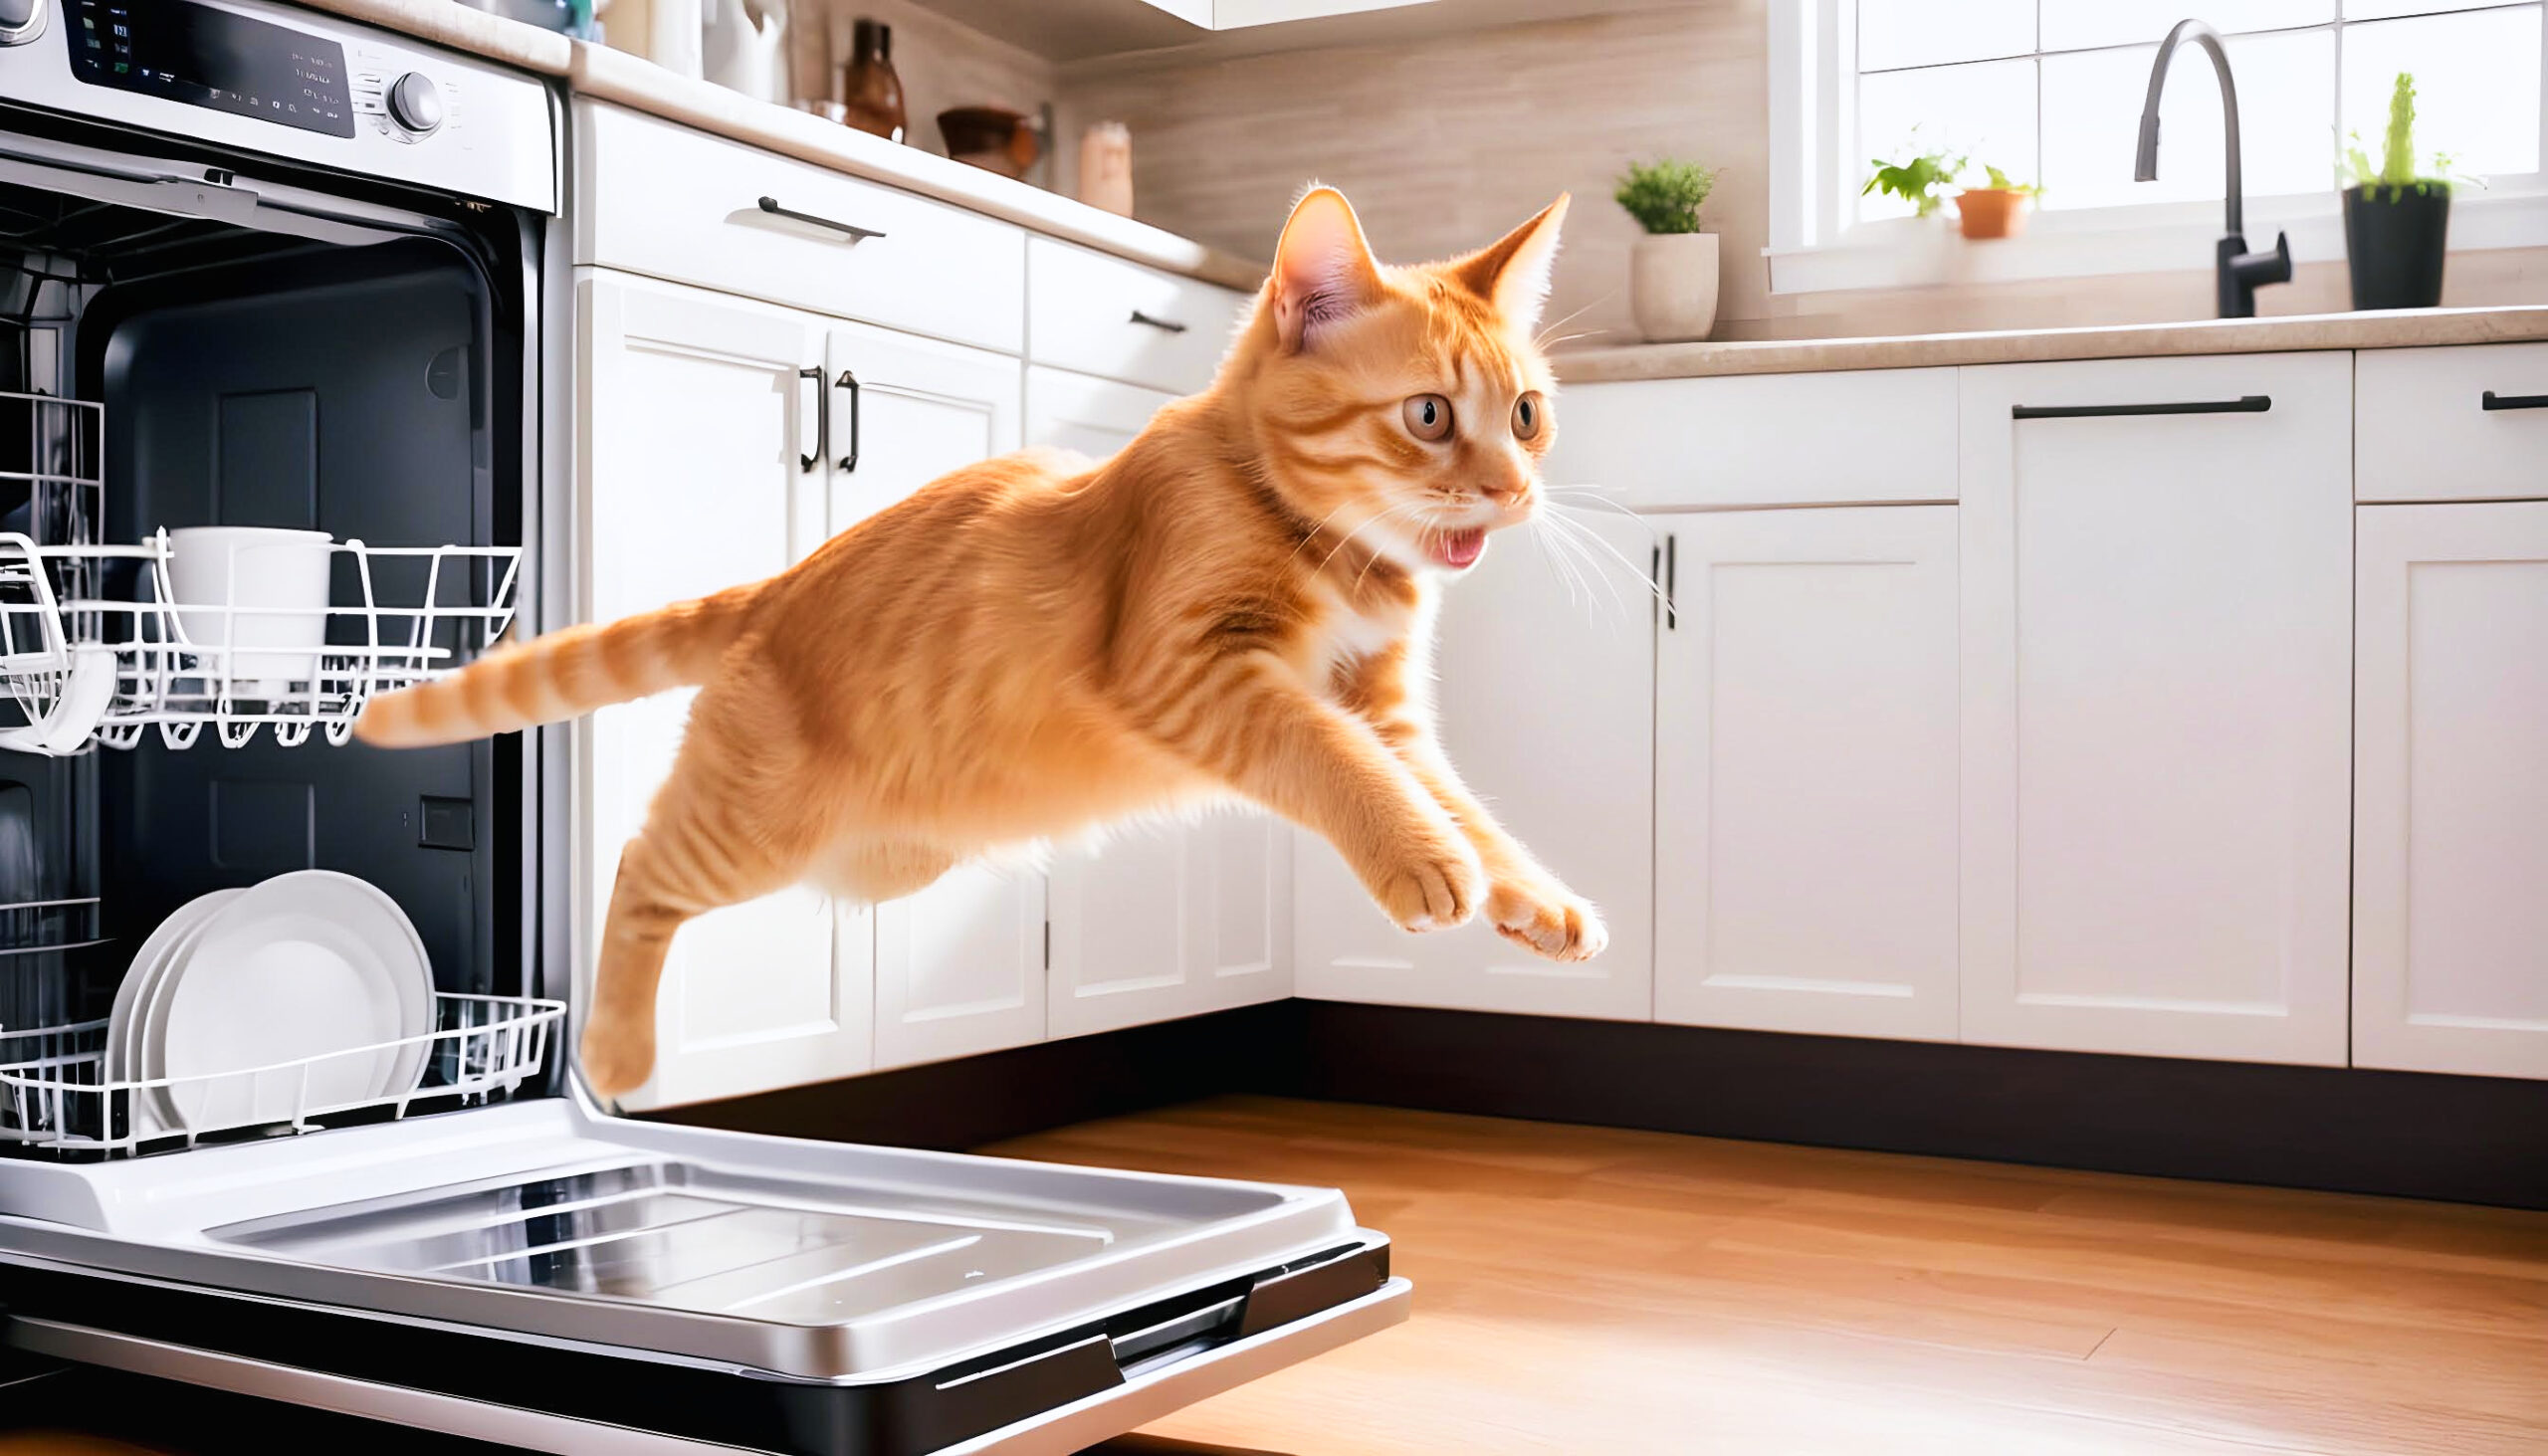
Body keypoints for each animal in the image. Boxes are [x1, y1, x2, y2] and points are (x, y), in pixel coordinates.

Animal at [351, 184, 1599, 1091]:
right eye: (1428, 416)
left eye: (1526, 414)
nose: (1512, 491)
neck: (1327, 545)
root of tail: (786, 581)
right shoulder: (1197, 670)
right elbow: (1334, 758)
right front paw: (1423, 862)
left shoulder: (1383, 705)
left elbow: (1459, 799)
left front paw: (1526, 894)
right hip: (760, 825)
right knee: (636, 863)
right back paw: (614, 1052)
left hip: (884, 858)